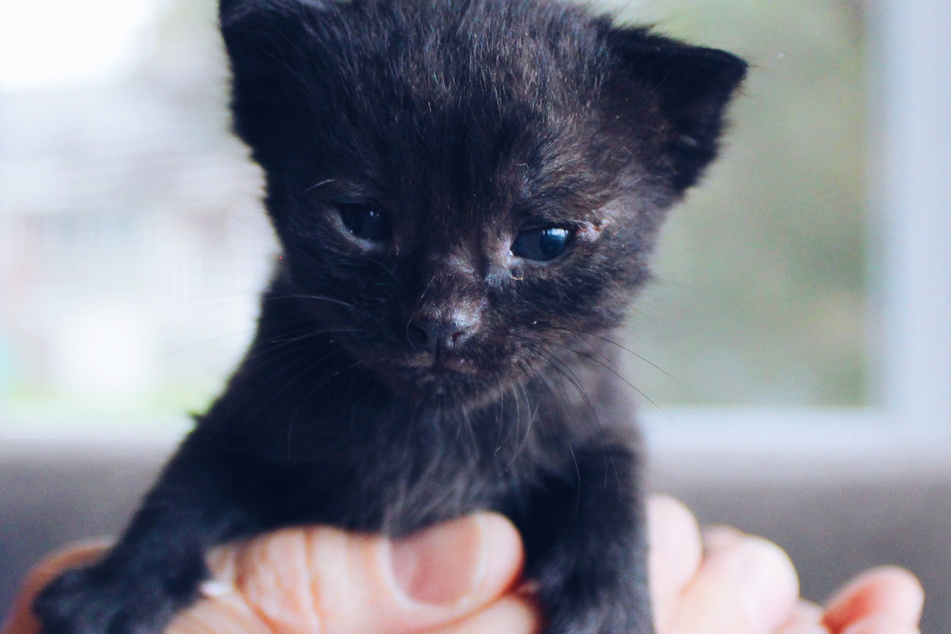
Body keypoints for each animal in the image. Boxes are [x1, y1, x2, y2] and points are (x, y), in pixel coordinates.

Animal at [35, 1, 744, 632]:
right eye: (364, 220)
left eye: (546, 240)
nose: (443, 322)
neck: (430, 434)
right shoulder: (248, 412)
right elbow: (186, 483)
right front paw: (113, 591)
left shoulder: (597, 417)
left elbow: (614, 491)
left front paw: (610, 607)